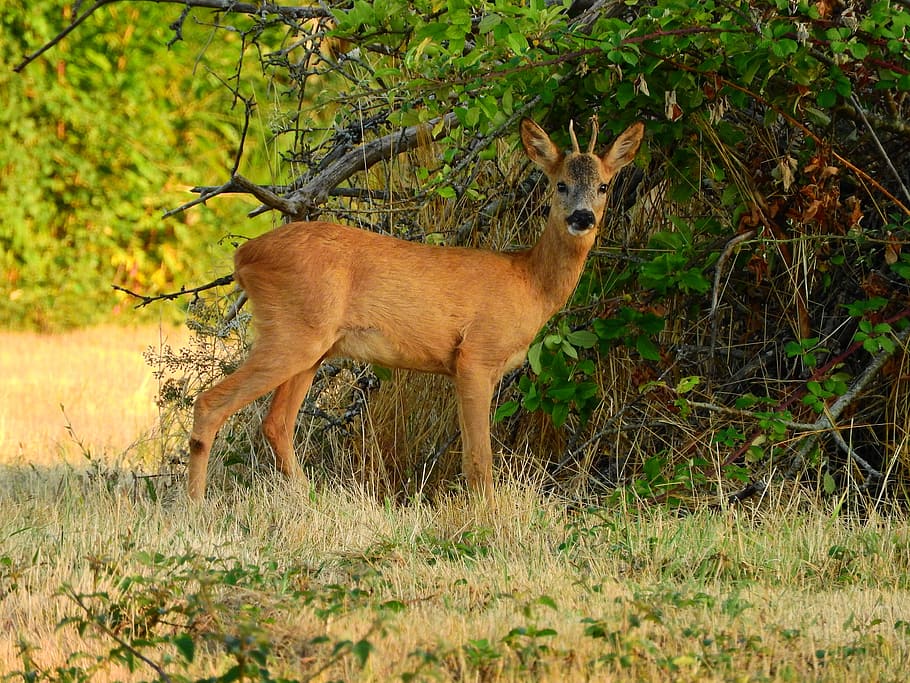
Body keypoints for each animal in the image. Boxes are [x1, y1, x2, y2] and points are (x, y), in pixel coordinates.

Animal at [187, 117, 644, 501]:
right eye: (561, 184)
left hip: (312, 346)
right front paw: (488, 518)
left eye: (604, 186)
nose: (582, 218)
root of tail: (244, 256)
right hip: (292, 332)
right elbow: (479, 460)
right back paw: (195, 507)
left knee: (276, 423)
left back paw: (313, 500)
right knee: (211, 403)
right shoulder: (475, 355)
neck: (529, 283)